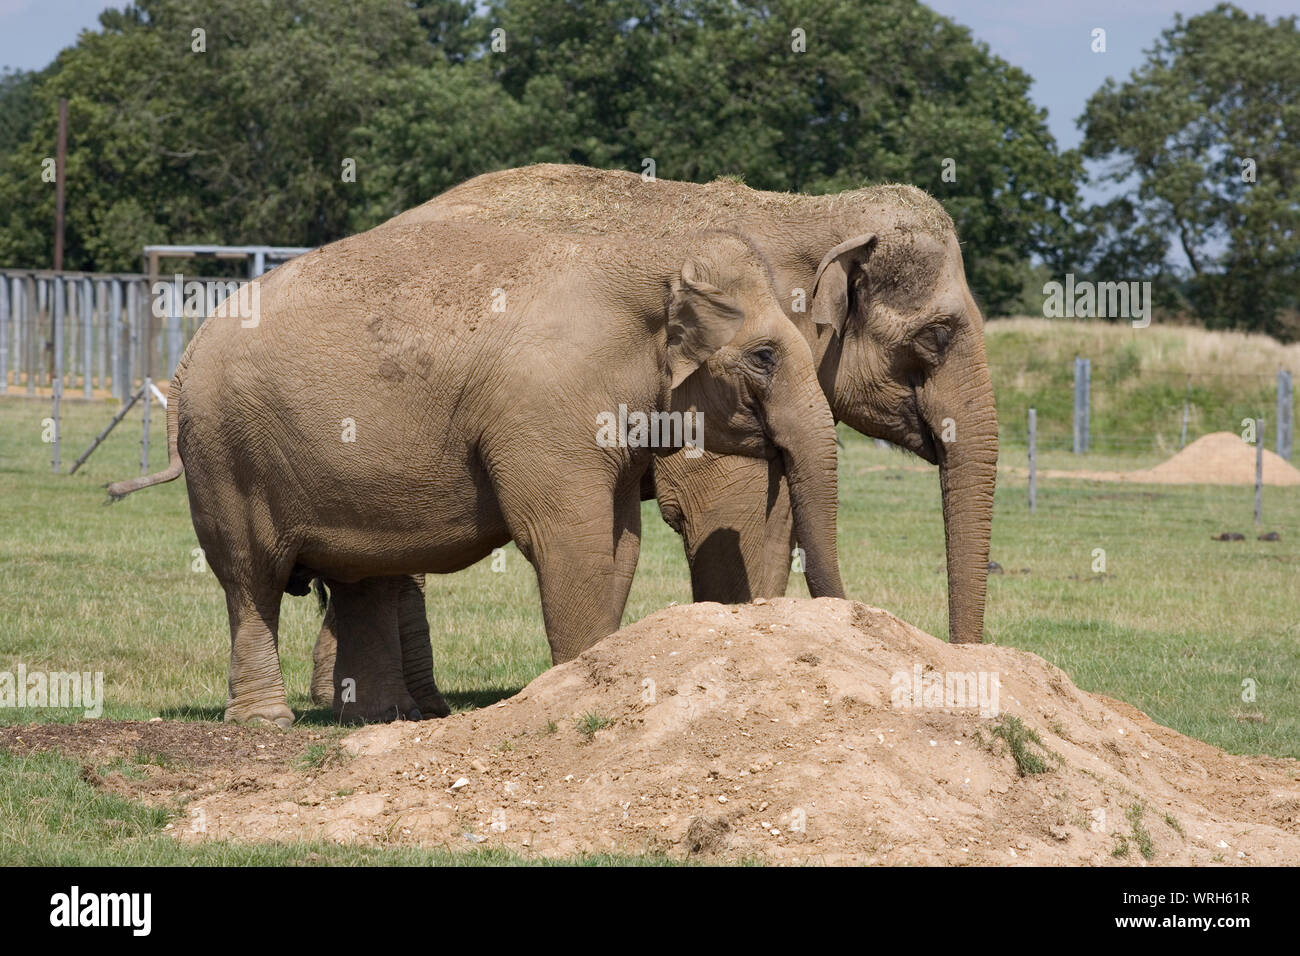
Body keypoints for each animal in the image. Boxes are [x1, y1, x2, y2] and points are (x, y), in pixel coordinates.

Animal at [109, 222, 842, 723]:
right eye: (766, 356)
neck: (646, 259)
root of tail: (187, 353)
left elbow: (619, 543)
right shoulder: (547, 407)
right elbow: (567, 539)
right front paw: (573, 692)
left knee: (359, 577)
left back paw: (387, 718)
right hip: (225, 455)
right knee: (248, 577)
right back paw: (268, 721)